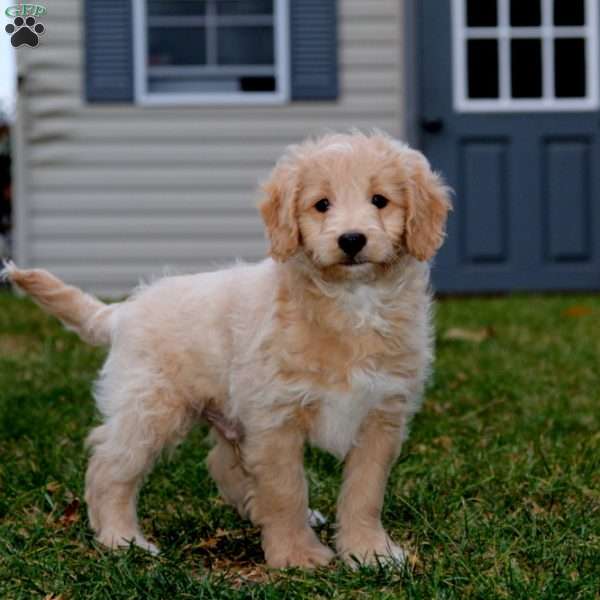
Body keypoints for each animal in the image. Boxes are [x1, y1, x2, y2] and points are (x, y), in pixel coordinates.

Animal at [1, 130, 450, 568]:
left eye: (380, 200)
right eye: (322, 204)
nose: (352, 240)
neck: (352, 302)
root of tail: (123, 311)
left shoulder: (381, 415)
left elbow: (364, 493)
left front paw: (369, 551)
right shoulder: (275, 418)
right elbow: (286, 489)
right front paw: (296, 555)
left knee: (222, 465)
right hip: (149, 408)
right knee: (109, 468)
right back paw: (122, 540)